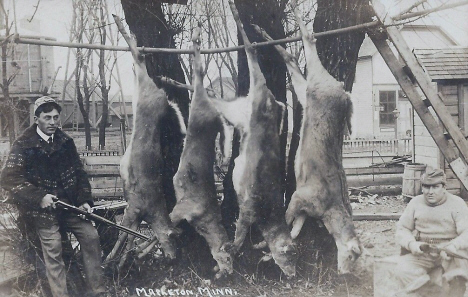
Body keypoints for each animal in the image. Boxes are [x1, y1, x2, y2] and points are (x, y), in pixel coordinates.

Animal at [169, 25, 233, 278]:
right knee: (198, 71)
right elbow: (171, 218)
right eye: (229, 257)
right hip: (200, 110)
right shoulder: (185, 207)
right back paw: (195, 38)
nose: (229, 272)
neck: (206, 223)